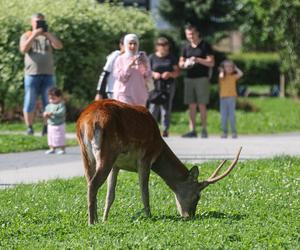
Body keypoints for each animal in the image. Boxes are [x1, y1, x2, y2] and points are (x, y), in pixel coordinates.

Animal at [76, 99, 243, 225]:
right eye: (197, 196)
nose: (190, 215)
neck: (159, 148)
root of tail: (87, 122)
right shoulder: (146, 158)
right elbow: (145, 191)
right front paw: (149, 216)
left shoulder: (117, 165)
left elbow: (110, 195)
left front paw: (105, 219)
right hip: (107, 152)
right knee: (93, 183)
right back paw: (91, 222)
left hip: (86, 154)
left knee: (89, 181)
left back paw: (95, 219)